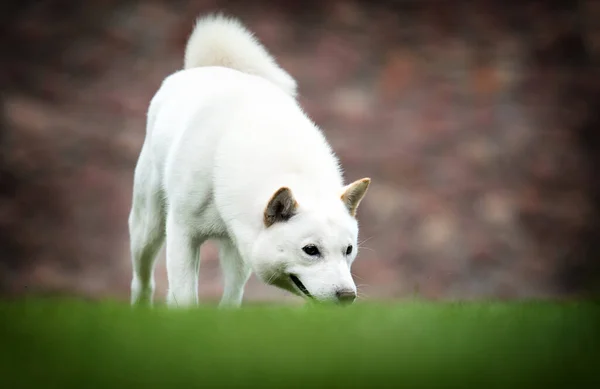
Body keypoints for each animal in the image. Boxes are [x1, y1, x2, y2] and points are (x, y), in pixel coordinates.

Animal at [129, 13, 368, 308]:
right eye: (310, 250)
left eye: (348, 250)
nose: (348, 296)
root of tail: (209, 67)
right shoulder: (182, 233)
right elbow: (185, 298)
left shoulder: (241, 247)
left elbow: (231, 300)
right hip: (148, 228)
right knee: (142, 277)